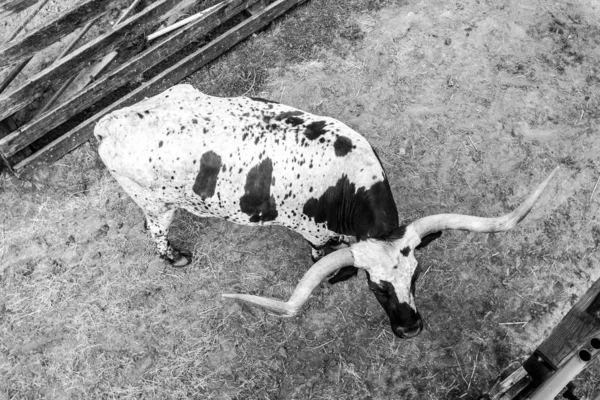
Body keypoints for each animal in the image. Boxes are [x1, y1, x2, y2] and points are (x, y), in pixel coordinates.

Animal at [94, 84, 556, 338]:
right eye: (376, 288)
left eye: (416, 274)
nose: (410, 329)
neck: (345, 179)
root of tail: (106, 123)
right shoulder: (313, 232)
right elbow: (321, 256)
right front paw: (336, 275)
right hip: (155, 204)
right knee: (155, 231)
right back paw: (174, 257)